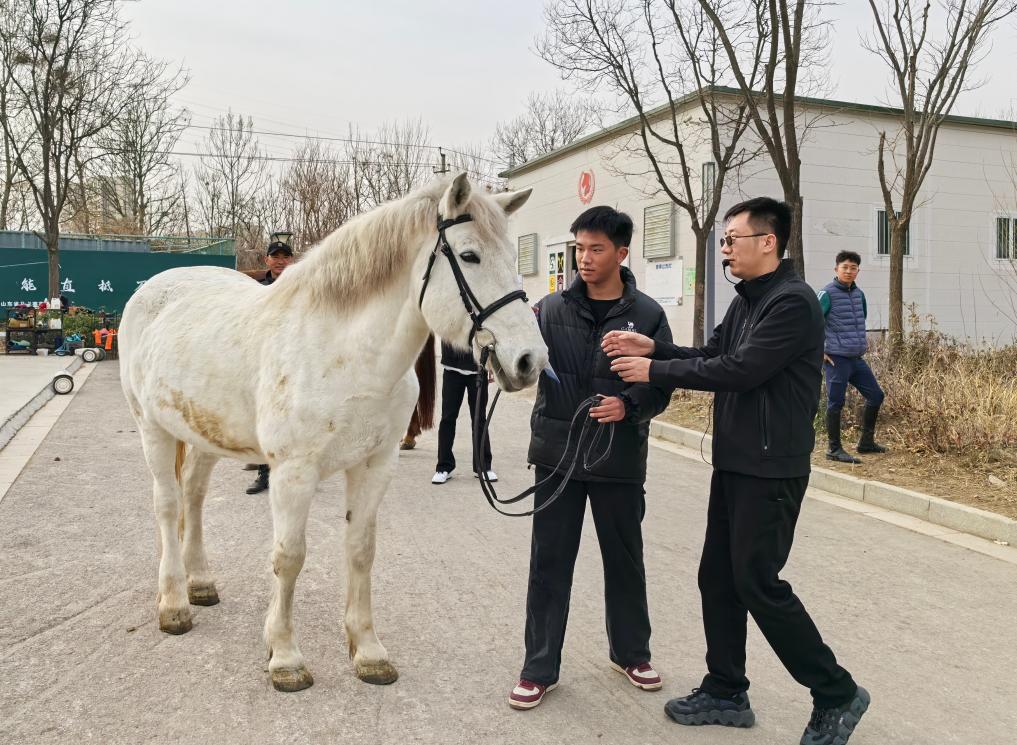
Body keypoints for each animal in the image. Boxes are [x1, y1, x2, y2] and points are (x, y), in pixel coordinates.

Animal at [118, 174, 547, 692]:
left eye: (512, 256)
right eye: (469, 256)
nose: (530, 360)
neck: (346, 353)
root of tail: (152, 288)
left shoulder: (375, 465)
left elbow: (361, 551)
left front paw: (368, 651)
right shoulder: (293, 472)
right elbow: (289, 557)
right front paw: (284, 656)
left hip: (204, 434)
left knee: (194, 498)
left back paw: (200, 583)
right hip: (152, 428)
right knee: (167, 505)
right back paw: (174, 604)